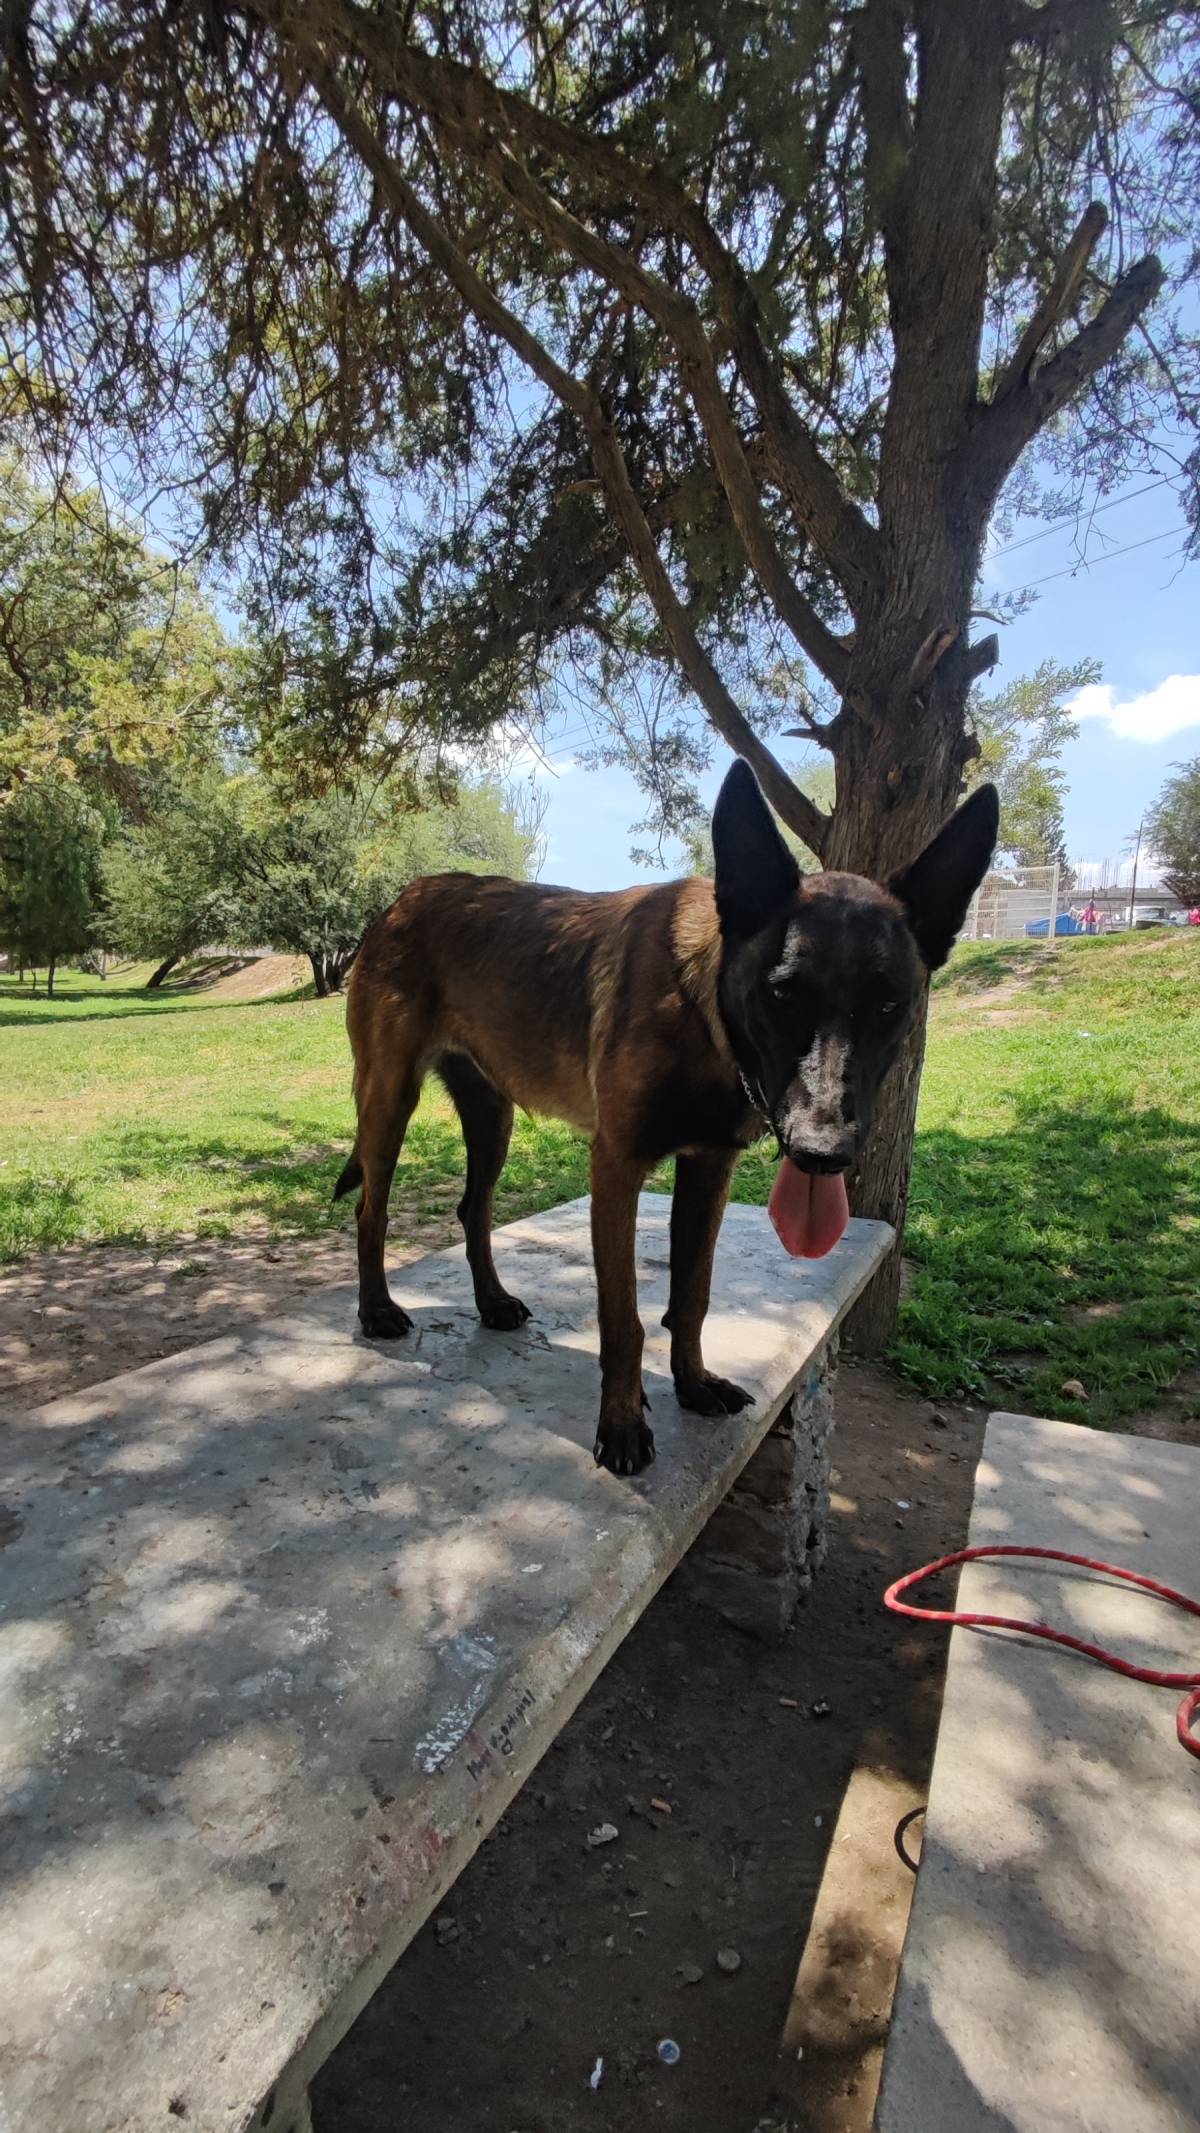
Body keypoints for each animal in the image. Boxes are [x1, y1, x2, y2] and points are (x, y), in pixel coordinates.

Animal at [332, 759, 1001, 1476]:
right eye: (783, 993)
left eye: (888, 1004)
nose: (822, 1152)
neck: (705, 1019)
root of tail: (404, 897)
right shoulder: (617, 1166)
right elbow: (623, 1318)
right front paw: (623, 1425)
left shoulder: (707, 1170)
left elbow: (693, 1293)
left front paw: (692, 1383)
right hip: (389, 1099)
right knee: (370, 1208)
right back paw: (376, 1308)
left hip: (493, 1118)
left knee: (472, 1208)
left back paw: (491, 1301)